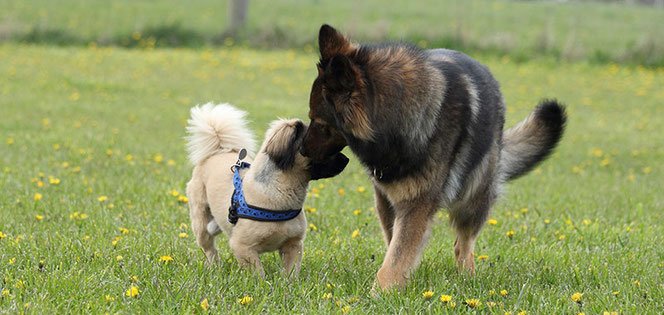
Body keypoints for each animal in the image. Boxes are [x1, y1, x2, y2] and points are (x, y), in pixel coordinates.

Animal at [183, 103, 348, 276]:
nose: (347, 159)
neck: (280, 191)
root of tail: (219, 151)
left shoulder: (293, 244)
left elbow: (290, 273)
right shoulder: (243, 247)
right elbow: (258, 274)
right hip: (201, 224)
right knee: (210, 250)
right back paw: (214, 268)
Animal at [300, 25, 564, 292]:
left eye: (319, 123)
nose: (301, 150)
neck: (397, 116)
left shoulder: (417, 204)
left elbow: (396, 258)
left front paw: (380, 294)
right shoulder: (386, 200)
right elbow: (395, 248)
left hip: (473, 196)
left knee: (464, 244)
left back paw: (467, 278)